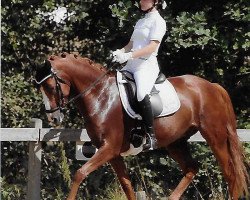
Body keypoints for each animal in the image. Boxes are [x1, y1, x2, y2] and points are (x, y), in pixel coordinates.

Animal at [34, 53, 248, 200]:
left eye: (51, 87)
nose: (53, 118)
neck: (100, 95)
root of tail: (212, 86)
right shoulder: (113, 154)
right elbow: (127, 185)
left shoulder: (108, 149)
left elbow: (80, 173)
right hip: (176, 142)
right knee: (192, 167)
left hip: (215, 137)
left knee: (230, 174)